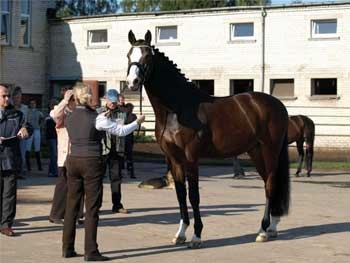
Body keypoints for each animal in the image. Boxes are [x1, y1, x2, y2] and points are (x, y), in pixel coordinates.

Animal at [126, 31, 290, 248]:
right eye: (129, 55)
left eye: (147, 56)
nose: (132, 82)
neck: (176, 109)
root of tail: (278, 104)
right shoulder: (174, 159)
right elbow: (180, 195)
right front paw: (180, 233)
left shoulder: (191, 157)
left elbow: (194, 196)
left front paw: (196, 236)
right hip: (255, 152)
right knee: (269, 184)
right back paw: (272, 227)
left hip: (270, 150)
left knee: (271, 184)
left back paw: (263, 231)